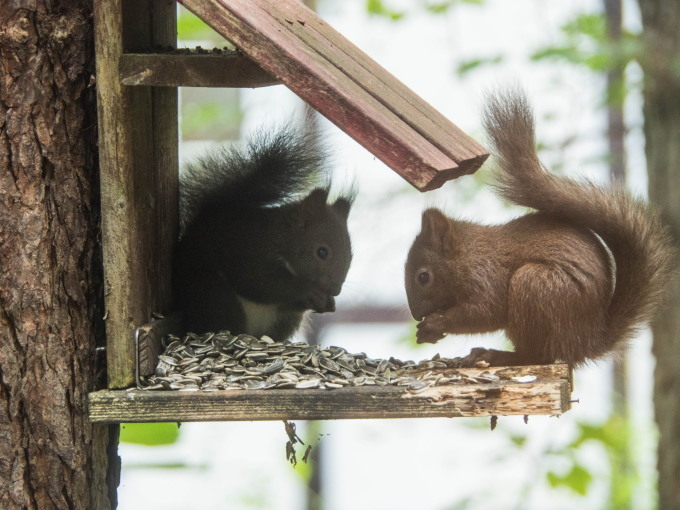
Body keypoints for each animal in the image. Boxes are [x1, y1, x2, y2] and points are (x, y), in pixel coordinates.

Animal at [171, 126, 356, 340]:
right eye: (322, 252)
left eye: (351, 256)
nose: (335, 290)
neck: (282, 238)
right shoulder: (249, 248)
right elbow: (259, 282)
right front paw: (307, 290)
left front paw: (327, 304)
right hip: (214, 294)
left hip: (284, 321)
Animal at [404, 88, 676, 366]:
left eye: (423, 277)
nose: (416, 315)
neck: (467, 256)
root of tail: (585, 344)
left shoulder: (486, 278)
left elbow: (485, 312)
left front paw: (435, 324)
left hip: (534, 285)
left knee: (537, 355)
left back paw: (496, 355)